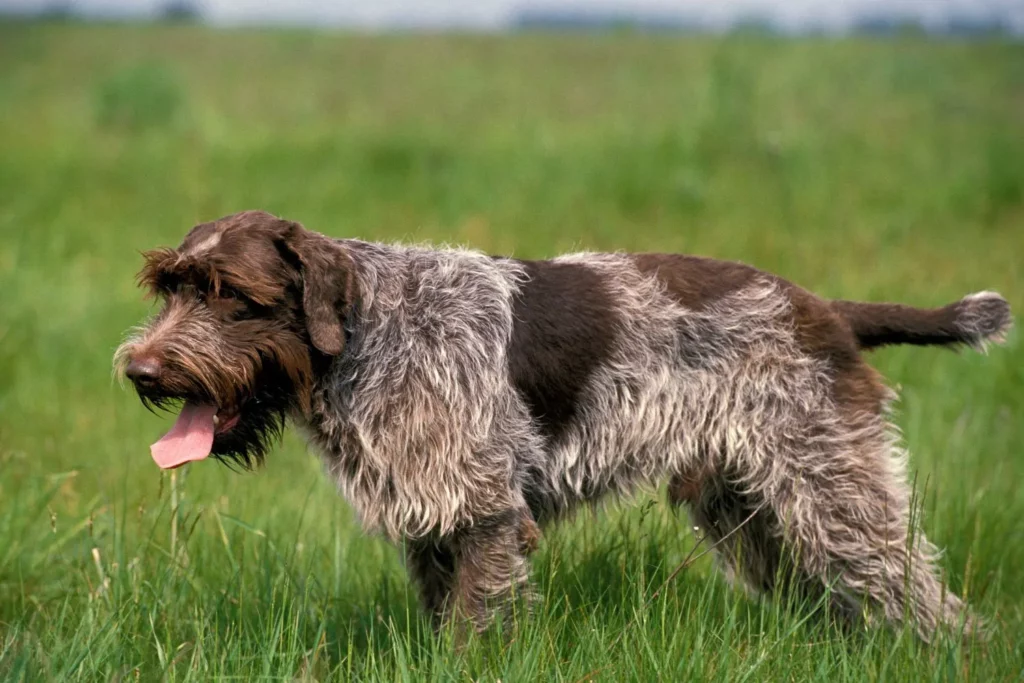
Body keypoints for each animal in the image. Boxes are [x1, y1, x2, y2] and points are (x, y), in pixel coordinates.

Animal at [112, 209, 1007, 643]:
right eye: (172, 286)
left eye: (232, 293)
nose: (141, 371)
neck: (370, 333)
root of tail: (825, 309)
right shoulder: (435, 520)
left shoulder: (483, 513)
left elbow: (472, 628)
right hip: (752, 511)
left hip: (833, 494)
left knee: (926, 596)